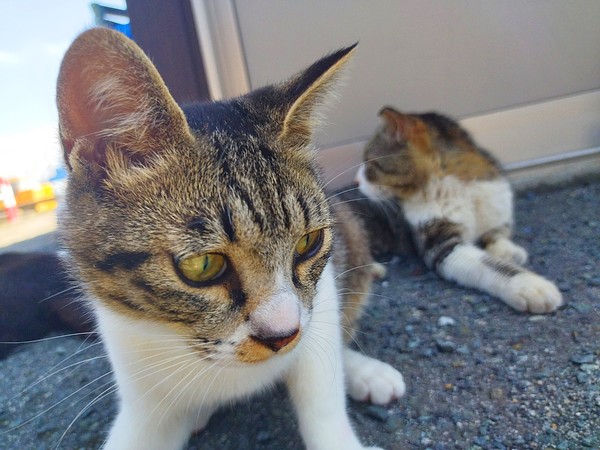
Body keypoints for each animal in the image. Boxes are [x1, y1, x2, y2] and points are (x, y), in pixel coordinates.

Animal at [356, 107, 564, 314]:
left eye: (369, 162)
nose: (356, 181)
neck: (461, 191)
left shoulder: (497, 207)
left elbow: (497, 233)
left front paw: (508, 251)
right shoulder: (441, 246)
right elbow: (487, 265)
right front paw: (530, 286)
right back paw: (372, 269)